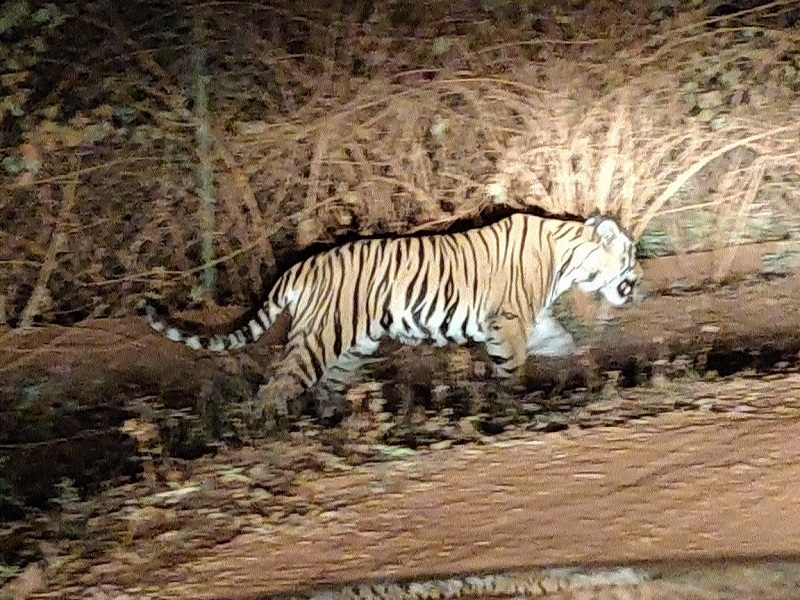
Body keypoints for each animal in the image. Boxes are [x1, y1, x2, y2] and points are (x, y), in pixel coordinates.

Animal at [146, 213, 640, 417]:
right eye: (631, 256)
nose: (638, 282)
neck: (568, 258)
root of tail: (300, 265)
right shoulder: (507, 323)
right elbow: (512, 367)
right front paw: (510, 402)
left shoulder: (533, 322)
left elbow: (567, 344)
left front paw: (592, 373)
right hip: (320, 339)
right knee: (278, 385)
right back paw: (268, 429)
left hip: (352, 346)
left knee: (324, 387)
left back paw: (341, 420)